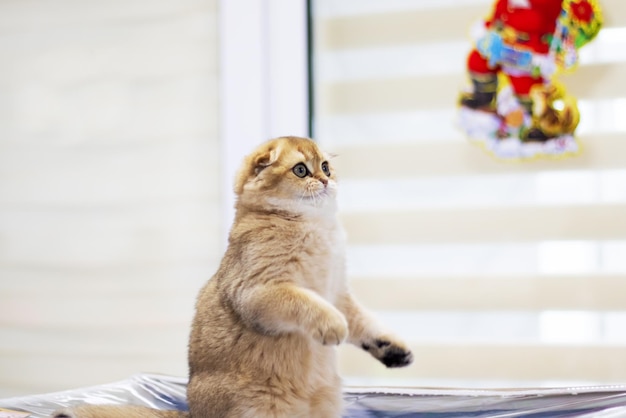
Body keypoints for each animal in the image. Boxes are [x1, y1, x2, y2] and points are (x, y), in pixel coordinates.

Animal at [53, 137, 412, 418]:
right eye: (301, 170)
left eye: (325, 166)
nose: (326, 181)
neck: (315, 227)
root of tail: (193, 414)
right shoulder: (260, 291)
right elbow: (308, 303)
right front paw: (332, 326)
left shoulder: (338, 292)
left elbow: (364, 322)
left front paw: (393, 348)